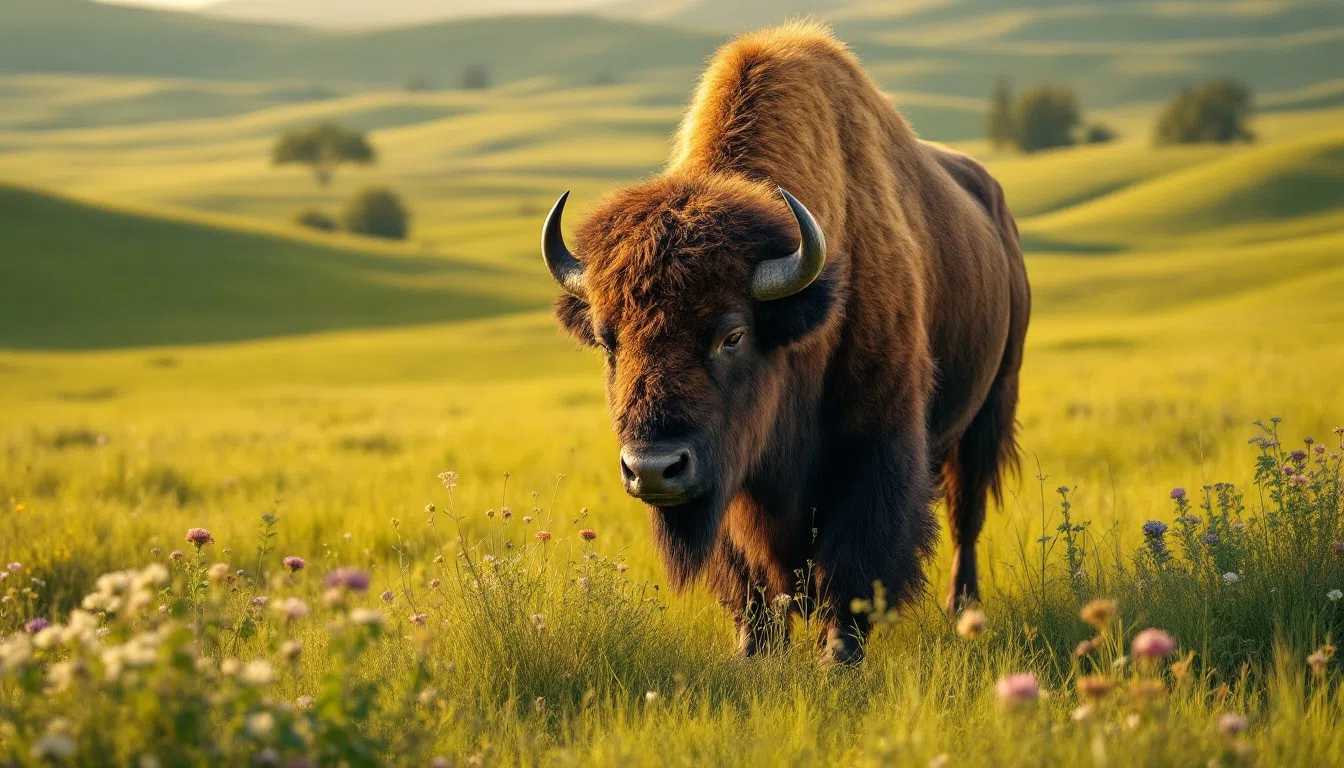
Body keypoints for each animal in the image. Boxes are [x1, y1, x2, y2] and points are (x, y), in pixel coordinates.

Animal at [542, 21, 1030, 663]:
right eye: (607, 342)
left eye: (733, 335)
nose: (652, 469)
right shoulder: (731, 482)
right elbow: (750, 580)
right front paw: (753, 652)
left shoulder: (874, 447)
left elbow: (853, 563)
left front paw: (837, 659)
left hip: (991, 407)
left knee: (965, 518)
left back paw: (963, 611)